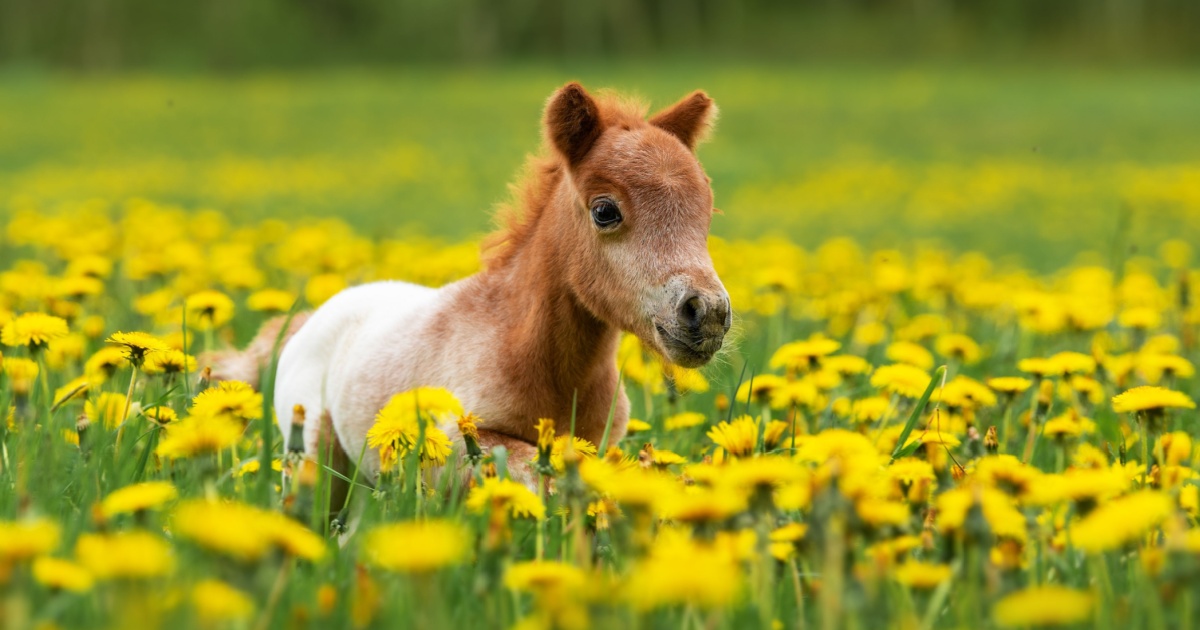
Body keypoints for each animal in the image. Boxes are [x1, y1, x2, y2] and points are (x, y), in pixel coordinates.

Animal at [214, 82, 731, 488]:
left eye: (707, 209)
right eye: (605, 211)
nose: (706, 313)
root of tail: (308, 320)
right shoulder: (456, 442)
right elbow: (536, 473)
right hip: (312, 460)